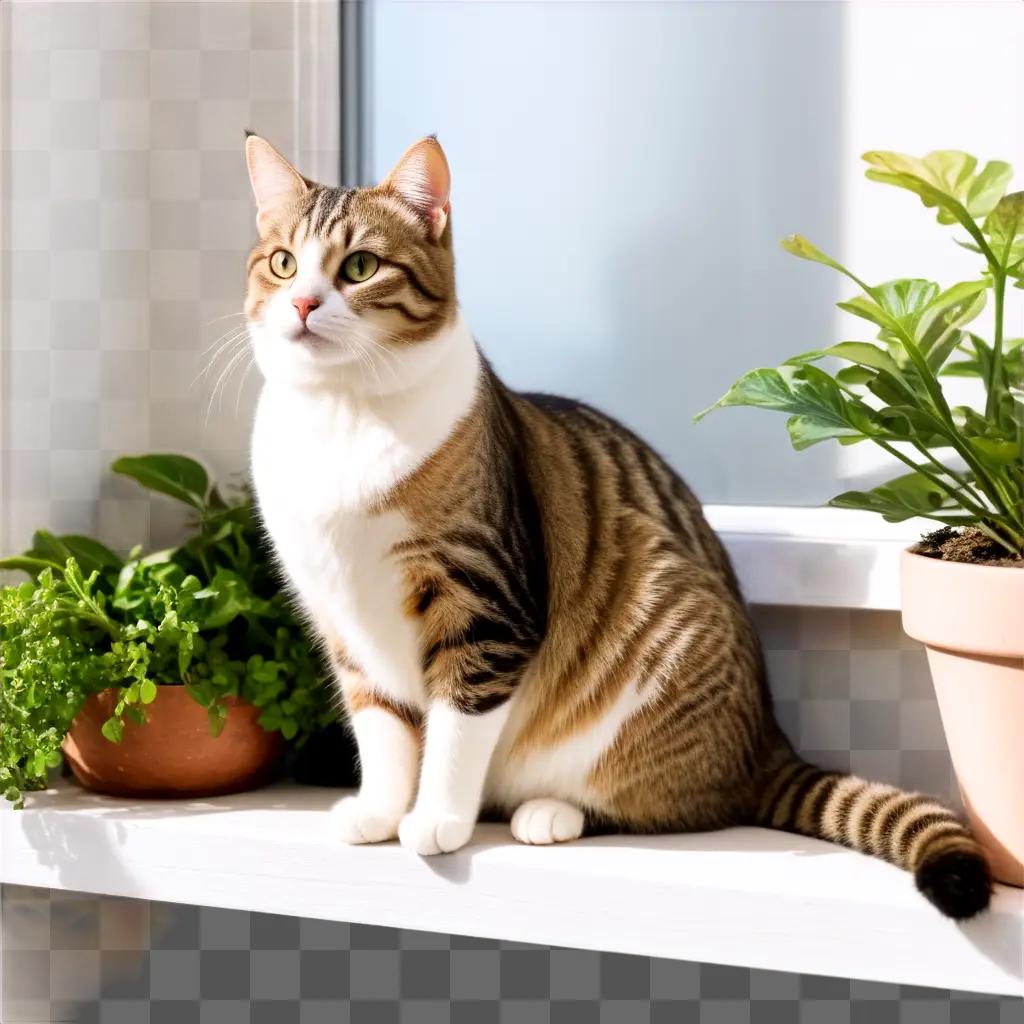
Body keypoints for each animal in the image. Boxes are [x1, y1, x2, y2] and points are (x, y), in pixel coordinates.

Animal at [241, 130, 991, 921]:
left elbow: (453, 727)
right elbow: (381, 730)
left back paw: (551, 812)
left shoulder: (487, 604)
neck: (342, 416)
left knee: (677, 806)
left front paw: (436, 819)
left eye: (359, 267)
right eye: (283, 262)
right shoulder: (342, 621)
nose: (302, 302)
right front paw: (382, 812)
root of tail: (766, 743)